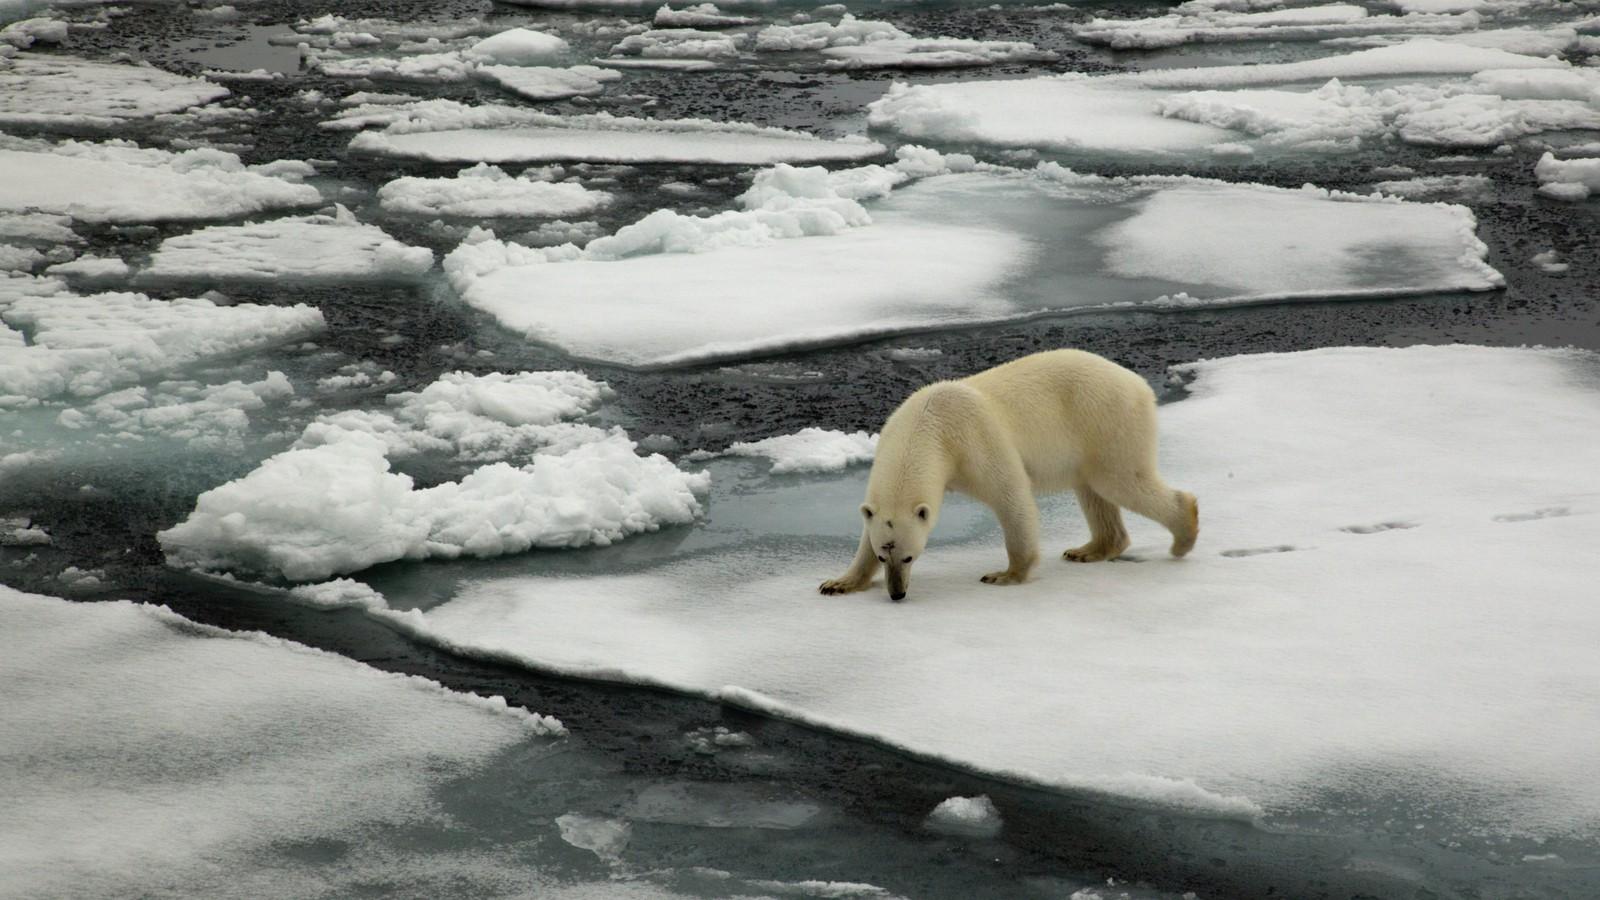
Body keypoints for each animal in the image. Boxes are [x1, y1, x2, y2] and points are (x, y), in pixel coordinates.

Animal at [819, 347, 1196, 598]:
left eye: (910, 556)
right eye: (884, 555)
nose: (897, 593)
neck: (929, 424)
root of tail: (1138, 383)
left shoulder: (973, 441)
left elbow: (1010, 494)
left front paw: (1005, 574)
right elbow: (865, 531)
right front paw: (838, 582)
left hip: (1105, 422)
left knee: (1121, 481)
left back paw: (1184, 534)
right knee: (1094, 492)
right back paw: (1088, 550)